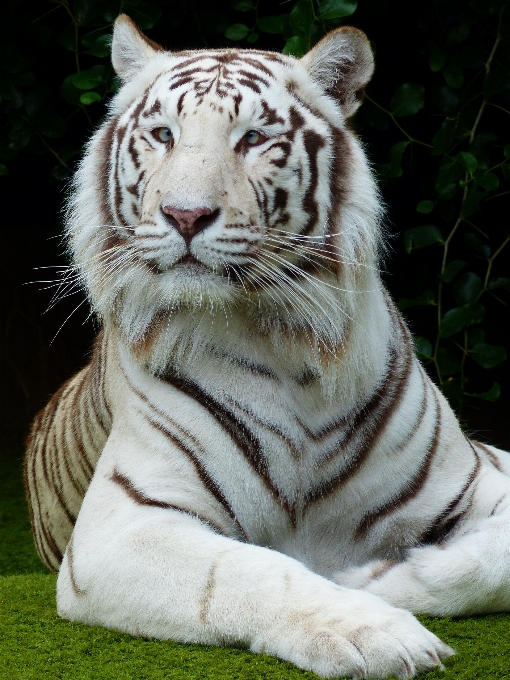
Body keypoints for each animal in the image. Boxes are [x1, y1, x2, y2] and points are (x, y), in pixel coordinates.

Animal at [24, 15, 510, 680]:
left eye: (253, 138)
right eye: (163, 134)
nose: (185, 215)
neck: (288, 345)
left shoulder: (479, 482)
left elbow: (493, 560)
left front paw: (379, 579)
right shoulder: (121, 527)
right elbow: (250, 571)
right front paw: (375, 628)